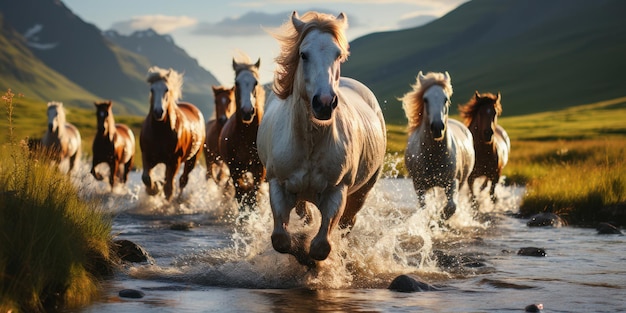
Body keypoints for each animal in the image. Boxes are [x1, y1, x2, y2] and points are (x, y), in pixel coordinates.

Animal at [140, 67, 206, 201]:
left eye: (166, 89)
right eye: (152, 90)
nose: (158, 112)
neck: (159, 133)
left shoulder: (175, 161)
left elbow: (169, 188)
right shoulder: (147, 156)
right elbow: (146, 178)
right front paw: (155, 188)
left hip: (192, 160)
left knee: (183, 180)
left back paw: (178, 198)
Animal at [218, 55, 264, 208]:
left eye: (255, 82)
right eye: (237, 83)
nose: (247, 111)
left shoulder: (259, 170)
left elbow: (253, 195)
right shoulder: (235, 170)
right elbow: (241, 194)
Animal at [255, 11, 386, 266]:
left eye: (338, 55)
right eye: (303, 54)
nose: (324, 103)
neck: (311, 142)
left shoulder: (337, 192)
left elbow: (322, 246)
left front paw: (311, 258)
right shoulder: (278, 185)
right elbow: (281, 239)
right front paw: (301, 251)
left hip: (361, 192)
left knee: (346, 225)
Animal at [400, 71, 472, 219]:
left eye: (446, 99)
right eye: (425, 99)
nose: (438, 127)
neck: (435, 155)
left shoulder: (452, 182)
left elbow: (451, 206)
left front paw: (441, 218)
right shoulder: (419, 185)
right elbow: (424, 208)